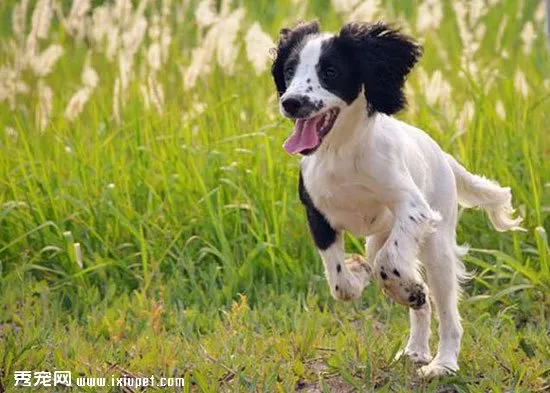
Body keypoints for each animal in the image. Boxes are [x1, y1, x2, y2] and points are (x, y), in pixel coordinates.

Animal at [272, 21, 528, 376]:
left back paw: (442, 363)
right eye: (289, 70)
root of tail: (443, 156)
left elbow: (388, 263)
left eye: (331, 71)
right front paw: (359, 272)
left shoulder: (414, 209)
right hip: (381, 237)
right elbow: (340, 282)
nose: (291, 102)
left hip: (437, 245)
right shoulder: (317, 216)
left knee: (446, 311)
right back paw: (415, 350)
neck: (341, 152)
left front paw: (403, 289)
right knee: (420, 303)